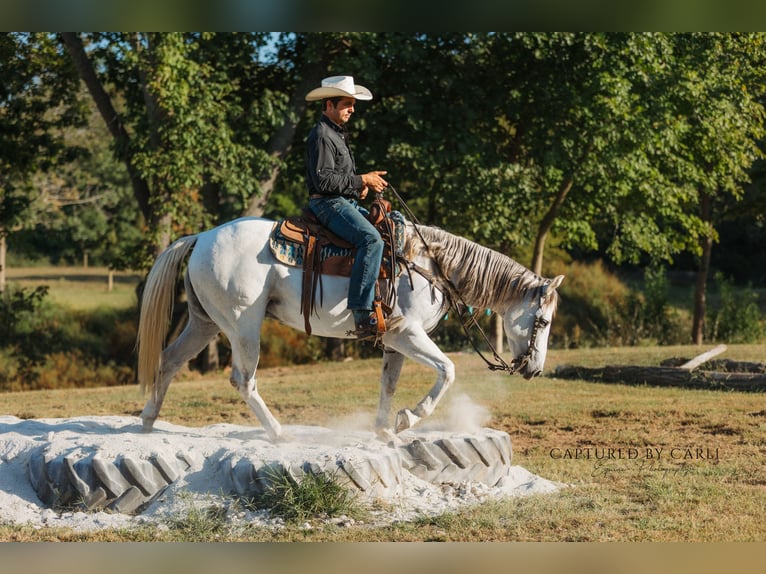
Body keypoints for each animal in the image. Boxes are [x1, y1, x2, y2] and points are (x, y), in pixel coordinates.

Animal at [136, 215, 564, 442]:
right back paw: (277, 432)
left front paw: (384, 430)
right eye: (542, 321)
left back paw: (148, 421)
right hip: (243, 326)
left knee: (168, 360)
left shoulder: (394, 342)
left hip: (204, 323)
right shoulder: (407, 333)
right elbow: (448, 370)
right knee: (243, 380)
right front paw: (409, 418)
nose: (535, 369)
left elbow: (388, 383)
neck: (430, 264)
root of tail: (201, 237)